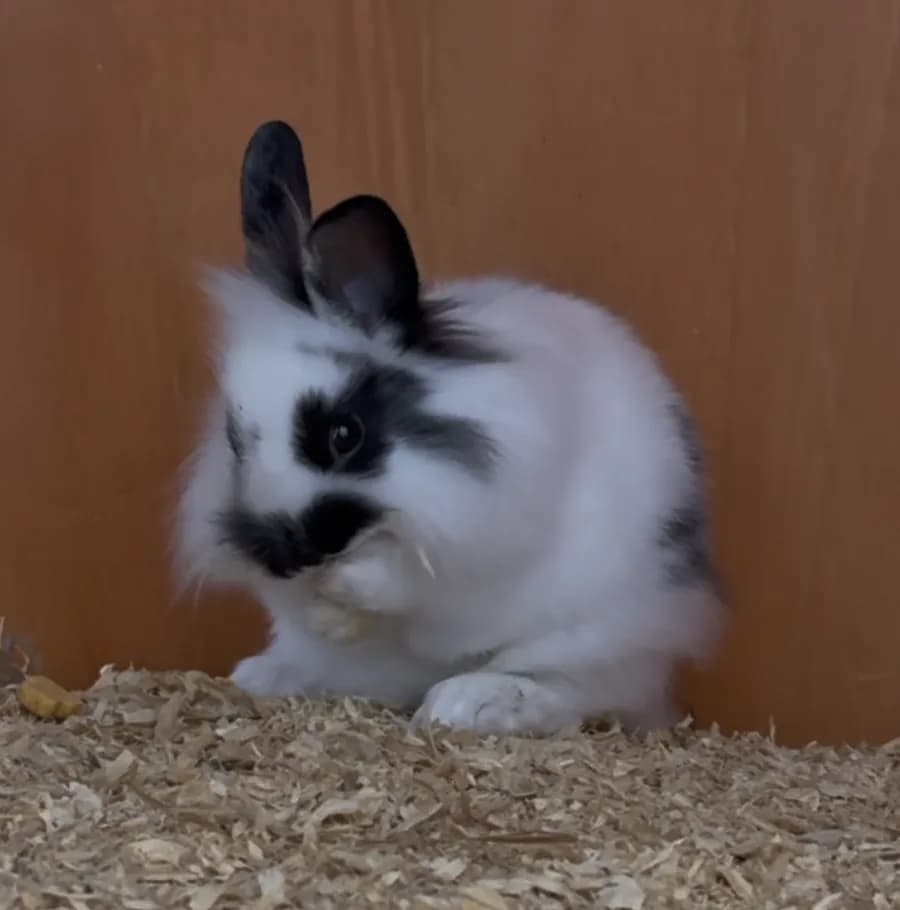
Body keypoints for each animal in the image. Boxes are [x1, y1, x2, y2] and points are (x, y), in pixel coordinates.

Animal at [174, 119, 725, 736]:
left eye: (344, 435)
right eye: (233, 440)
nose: (288, 556)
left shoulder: (469, 544)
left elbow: (400, 581)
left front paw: (340, 589)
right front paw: (325, 612)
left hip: (604, 628)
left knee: (575, 689)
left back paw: (469, 702)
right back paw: (266, 675)